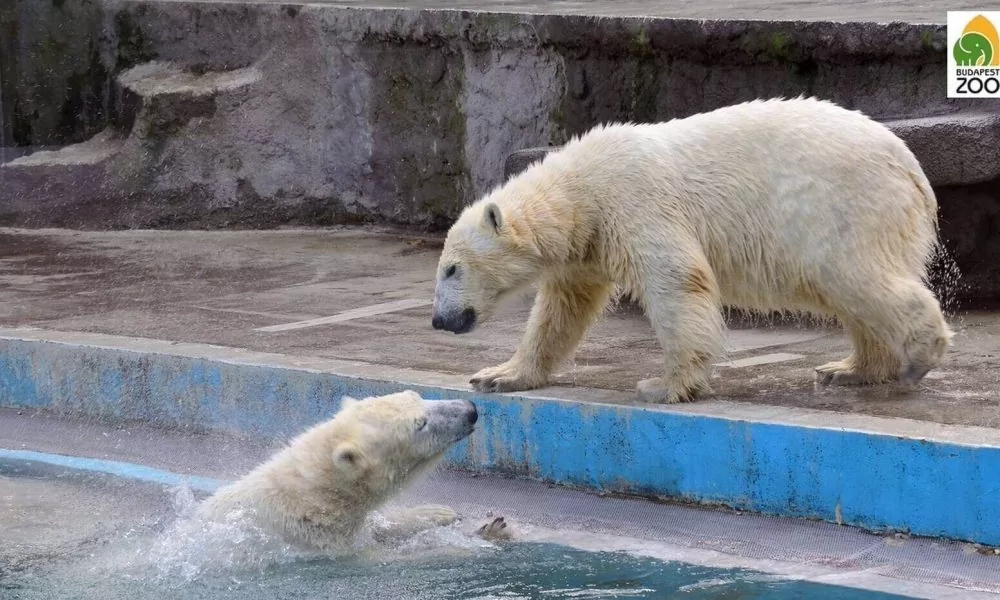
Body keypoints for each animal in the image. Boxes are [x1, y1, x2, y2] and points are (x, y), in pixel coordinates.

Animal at [196, 390, 480, 552]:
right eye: (420, 424)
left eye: (418, 395)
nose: (471, 410)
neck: (314, 499)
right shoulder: (319, 541)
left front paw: (438, 512)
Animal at [430, 96, 952, 404]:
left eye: (451, 269)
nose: (439, 320)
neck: (580, 187)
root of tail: (911, 167)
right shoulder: (588, 244)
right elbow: (562, 309)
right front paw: (499, 374)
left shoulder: (633, 200)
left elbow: (676, 280)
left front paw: (664, 385)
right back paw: (848, 368)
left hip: (843, 206)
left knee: (856, 276)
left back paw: (917, 356)